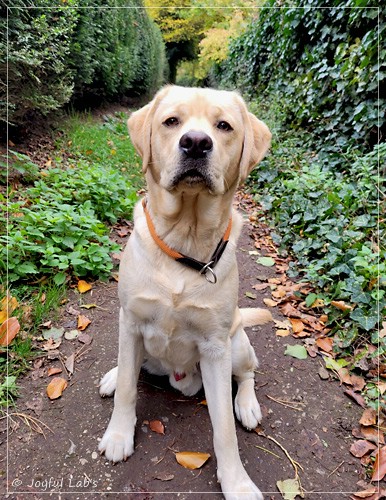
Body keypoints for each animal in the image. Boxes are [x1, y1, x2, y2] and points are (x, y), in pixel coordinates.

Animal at [99, 87, 272, 500]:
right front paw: (118, 435)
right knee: (131, 369)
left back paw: (248, 405)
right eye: (172, 121)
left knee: (247, 374)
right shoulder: (131, 322)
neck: (184, 240)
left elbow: (223, 428)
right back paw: (114, 374)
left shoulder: (215, 347)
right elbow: (128, 388)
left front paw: (237, 481)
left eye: (224, 126)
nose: (195, 142)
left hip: (236, 344)